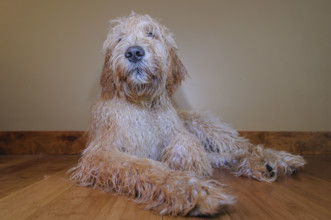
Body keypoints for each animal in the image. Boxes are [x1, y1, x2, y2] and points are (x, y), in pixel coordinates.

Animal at [69, 13, 306, 217]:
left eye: (151, 33)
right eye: (119, 38)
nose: (134, 52)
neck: (144, 104)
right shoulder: (101, 153)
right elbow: (143, 167)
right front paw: (195, 193)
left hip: (208, 128)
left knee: (245, 146)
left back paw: (280, 160)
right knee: (225, 156)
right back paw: (260, 165)